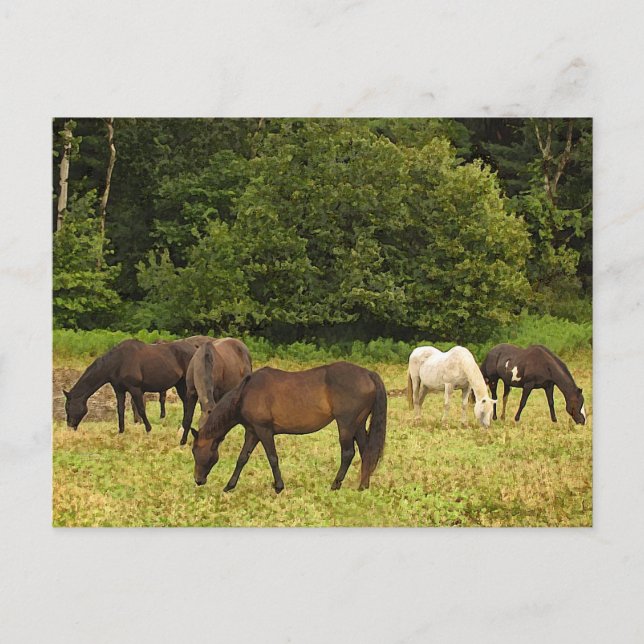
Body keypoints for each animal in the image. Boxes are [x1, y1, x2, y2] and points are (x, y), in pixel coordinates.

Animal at [63, 335, 212, 435]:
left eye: (68, 407)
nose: (70, 427)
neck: (118, 362)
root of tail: (196, 349)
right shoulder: (119, 390)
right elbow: (120, 410)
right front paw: (121, 431)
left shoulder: (135, 389)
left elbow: (140, 408)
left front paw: (148, 429)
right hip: (180, 384)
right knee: (186, 404)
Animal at [191, 361, 387, 493]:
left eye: (195, 451)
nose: (198, 480)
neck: (245, 393)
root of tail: (368, 374)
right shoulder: (252, 432)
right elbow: (242, 458)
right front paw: (229, 485)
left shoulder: (264, 431)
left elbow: (272, 458)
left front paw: (278, 486)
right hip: (358, 425)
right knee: (366, 452)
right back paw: (363, 485)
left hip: (346, 425)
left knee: (348, 453)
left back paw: (336, 484)